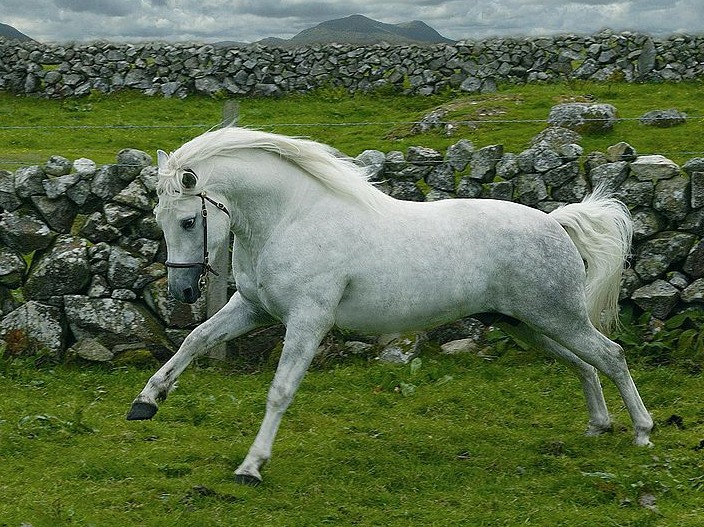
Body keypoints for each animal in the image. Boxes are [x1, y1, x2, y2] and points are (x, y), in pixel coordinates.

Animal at [128, 128, 656, 486]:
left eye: (189, 219)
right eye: (157, 217)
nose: (182, 292)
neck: (290, 218)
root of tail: (555, 222)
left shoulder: (307, 320)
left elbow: (279, 390)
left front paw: (251, 467)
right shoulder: (253, 309)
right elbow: (195, 340)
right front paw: (146, 402)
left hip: (557, 317)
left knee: (610, 356)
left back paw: (642, 432)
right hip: (526, 324)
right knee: (582, 364)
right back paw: (598, 425)